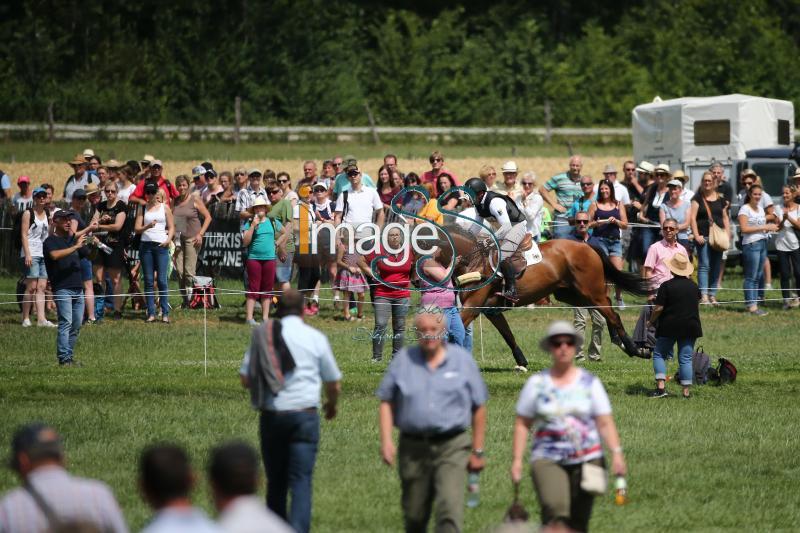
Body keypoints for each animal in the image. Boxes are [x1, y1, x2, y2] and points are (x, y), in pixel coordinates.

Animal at [432, 225, 648, 370]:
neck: (473, 261)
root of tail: (587, 246)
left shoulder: (472, 307)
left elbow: (451, 334)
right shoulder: (490, 310)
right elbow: (508, 335)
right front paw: (521, 362)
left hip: (590, 290)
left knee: (611, 312)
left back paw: (633, 348)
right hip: (570, 294)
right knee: (606, 309)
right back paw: (619, 341)